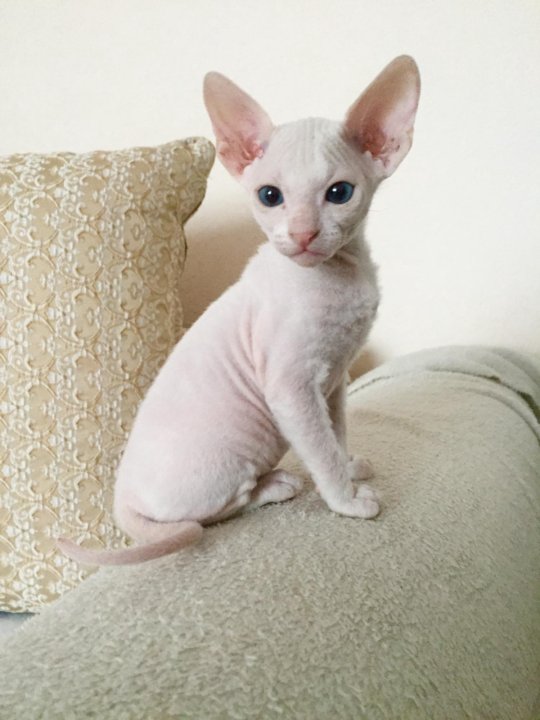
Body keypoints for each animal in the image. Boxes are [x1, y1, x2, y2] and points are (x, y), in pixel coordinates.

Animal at [58, 55, 420, 565]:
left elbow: (336, 433)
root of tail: (120, 498)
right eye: (270, 196)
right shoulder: (291, 387)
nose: (303, 235)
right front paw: (346, 500)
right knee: (214, 513)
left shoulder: (334, 379)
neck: (342, 273)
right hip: (232, 455)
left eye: (339, 193)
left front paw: (349, 467)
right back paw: (276, 486)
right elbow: (320, 449)